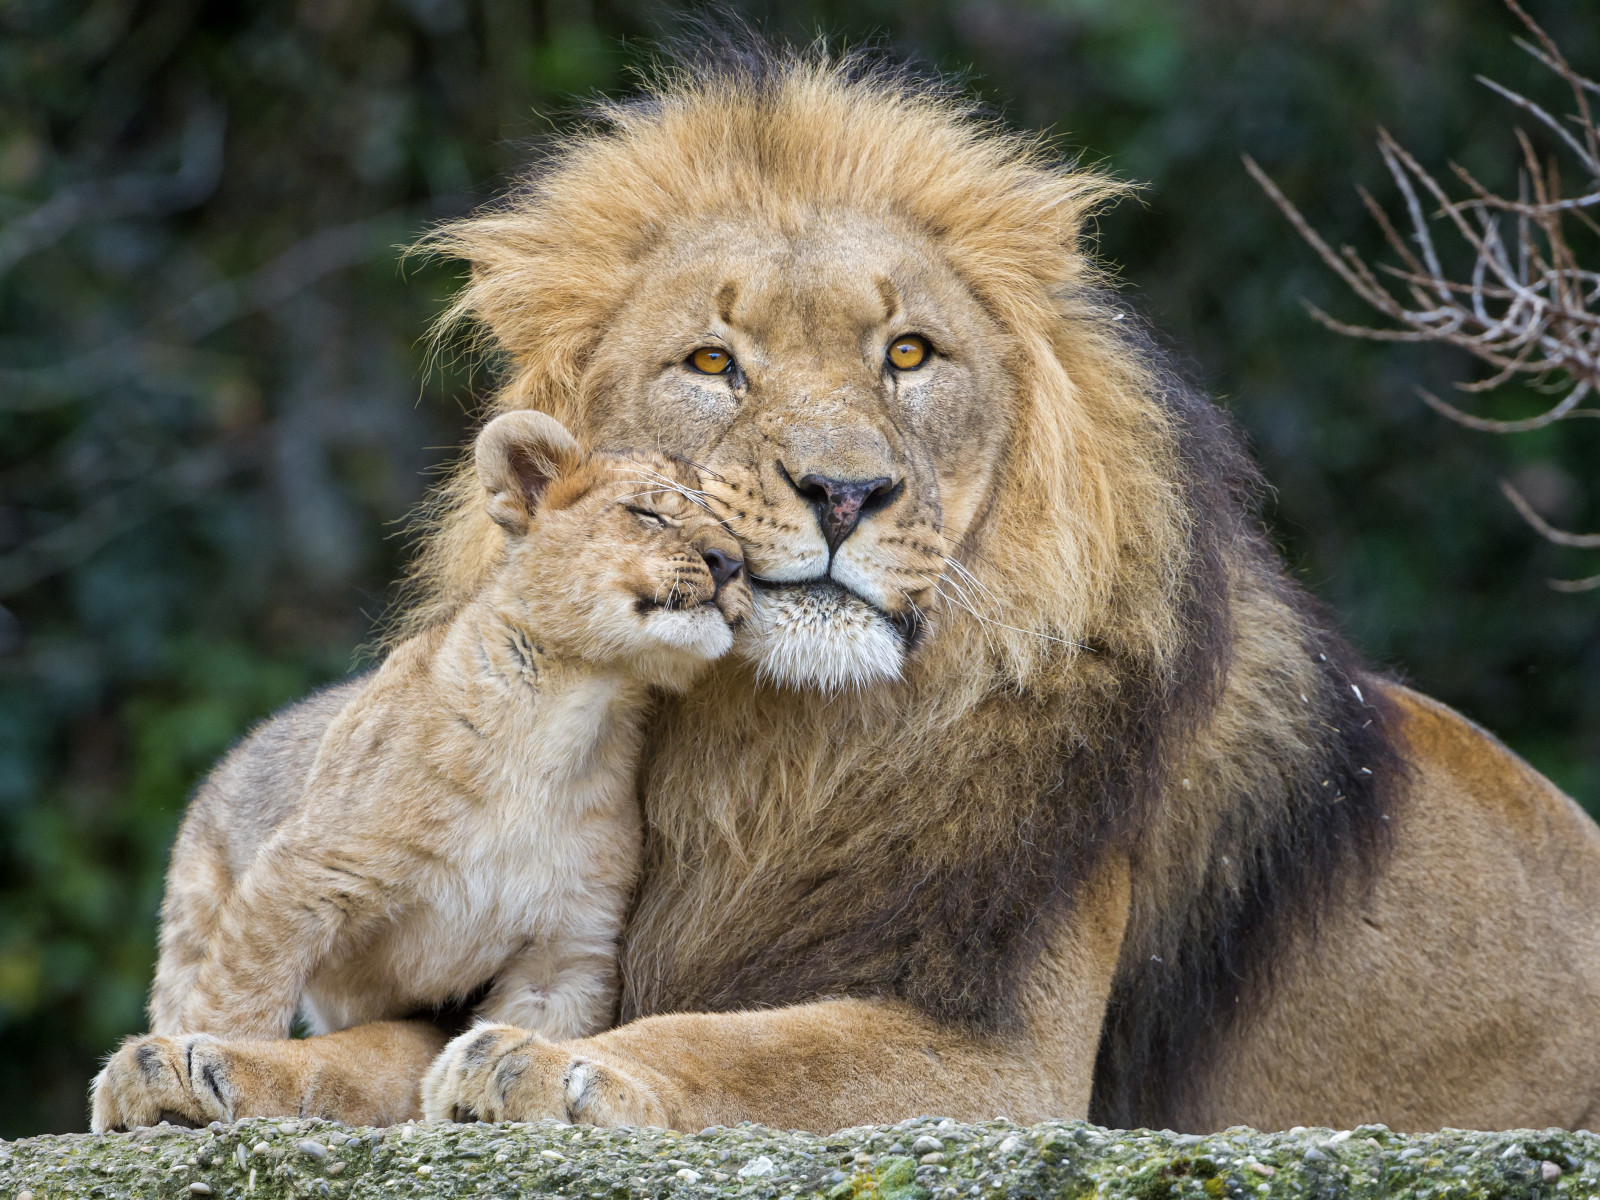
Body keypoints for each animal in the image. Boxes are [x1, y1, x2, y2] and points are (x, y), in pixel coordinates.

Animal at [90, 47, 1600, 1139]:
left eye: (909, 354)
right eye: (713, 363)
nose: (843, 493)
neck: (779, 749)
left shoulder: (1005, 1063)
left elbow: (757, 1050)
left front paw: (554, 1069)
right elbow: (366, 1045)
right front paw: (195, 1061)